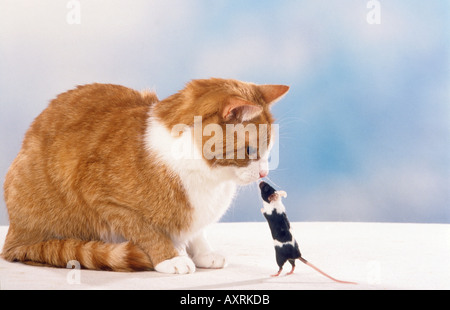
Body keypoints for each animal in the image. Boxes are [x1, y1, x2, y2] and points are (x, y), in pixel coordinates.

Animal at [1, 77, 290, 274]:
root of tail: (13, 237)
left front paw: (203, 253)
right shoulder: (102, 198)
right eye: (251, 150)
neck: (209, 178)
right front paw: (171, 257)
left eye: (270, 149)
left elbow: (197, 232)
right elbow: (146, 231)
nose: (263, 171)